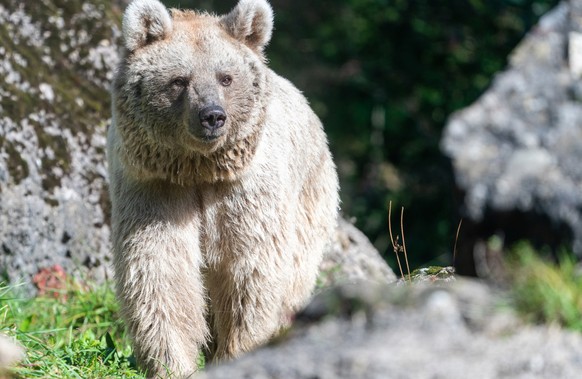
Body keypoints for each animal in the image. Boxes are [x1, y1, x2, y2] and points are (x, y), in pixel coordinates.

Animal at [107, 0, 340, 378]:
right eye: (179, 80)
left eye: (226, 77)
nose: (212, 116)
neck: (199, 169)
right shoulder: (155, 189)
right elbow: (159, 269)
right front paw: (172, 363)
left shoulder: (244, 191)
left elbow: (249, 270)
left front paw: (239, 350)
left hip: (310, 200)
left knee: (294, 278)